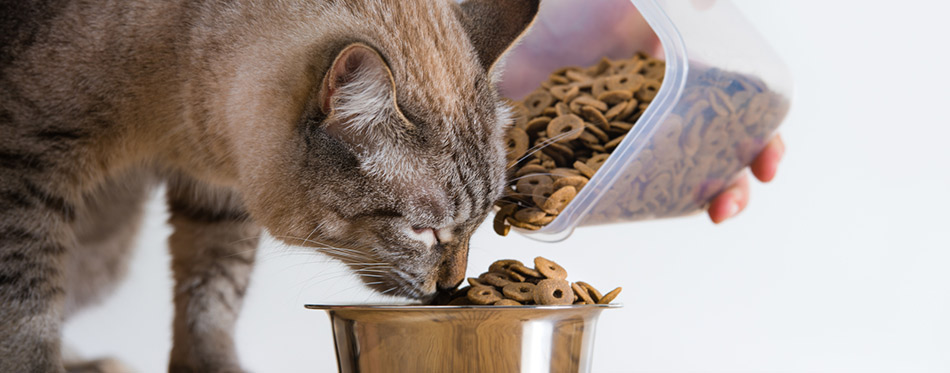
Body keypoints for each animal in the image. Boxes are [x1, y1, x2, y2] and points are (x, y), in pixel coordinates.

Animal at [0, 0, 540, 370]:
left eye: (479, 224)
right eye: (422, 232)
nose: (451, 287)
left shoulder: (218, 199)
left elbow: (211, 299)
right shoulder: (26, 167)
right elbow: (26, 309)